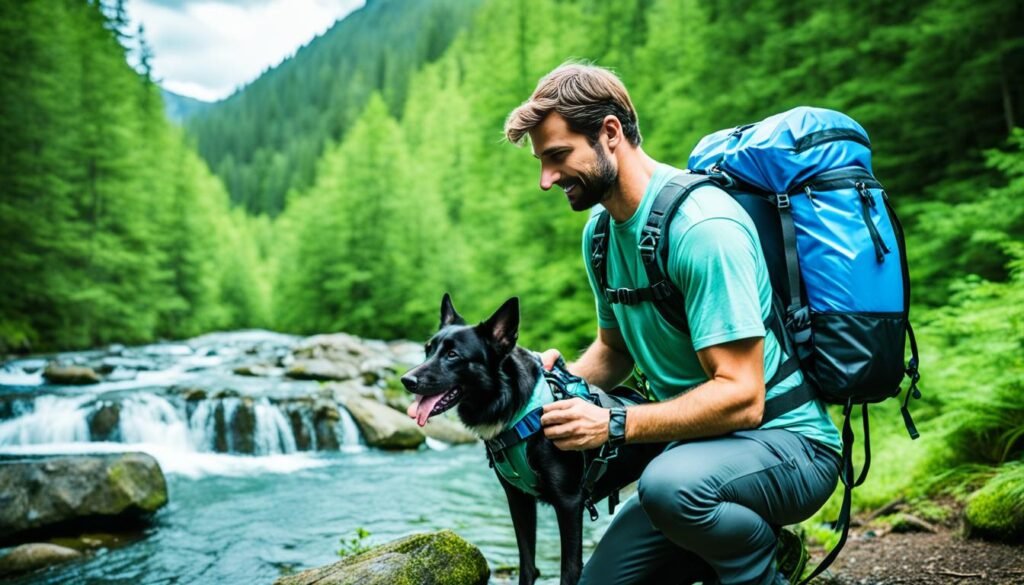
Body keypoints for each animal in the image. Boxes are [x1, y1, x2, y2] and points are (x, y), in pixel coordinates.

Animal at [399, 297, 663, 585]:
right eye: (427, 350)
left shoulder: (569, 503)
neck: (513, 407)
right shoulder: (518, 499)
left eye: (452, 355)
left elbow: (570, 569)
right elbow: (527, 565)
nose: (406, 380)